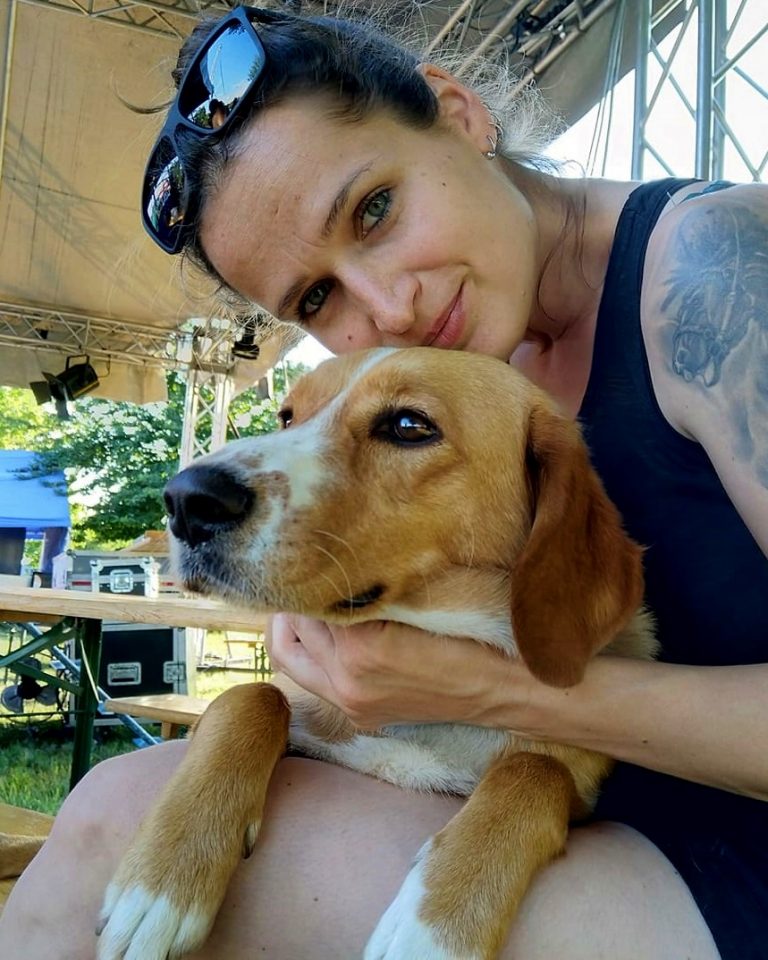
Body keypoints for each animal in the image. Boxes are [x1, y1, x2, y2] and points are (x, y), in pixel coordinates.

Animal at [96, 346, 657, 960]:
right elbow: (252, 697)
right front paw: (159, 883)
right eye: (287, 416)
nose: (186, 499)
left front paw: (435, 926)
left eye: (409, 425)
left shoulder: (574, 792)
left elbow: (534, 769)